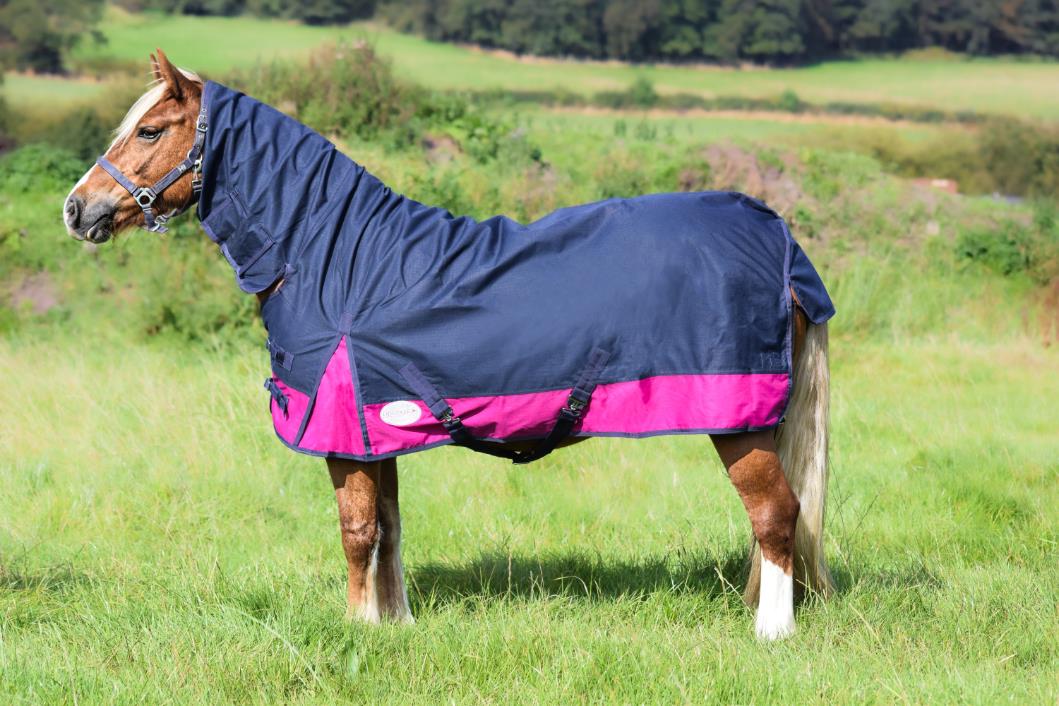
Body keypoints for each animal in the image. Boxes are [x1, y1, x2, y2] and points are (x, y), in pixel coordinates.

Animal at [63, 50, 836, 640]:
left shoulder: (340, 432)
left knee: (775, 515)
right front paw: (395, 626)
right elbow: (390, 527)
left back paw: (772, 632)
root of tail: (778, 240)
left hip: (737, 421)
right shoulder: (373, 428)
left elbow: (356, 531)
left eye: (150, 130)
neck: (338, 261)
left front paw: (357, 629)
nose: (77, 209)